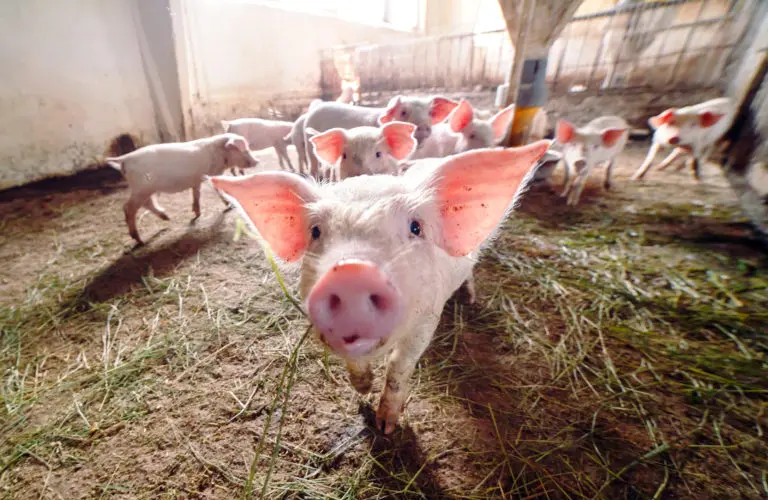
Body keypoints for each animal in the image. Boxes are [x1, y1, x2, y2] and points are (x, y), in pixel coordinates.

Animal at [106, 133, 258, 244]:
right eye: (243, 149)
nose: (257, 161)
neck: (219, 155)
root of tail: (125, 159)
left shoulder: (197, 180)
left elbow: (196, 194)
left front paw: (197, 213)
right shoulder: (210, 174)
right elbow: (216, 189)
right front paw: (229, 205)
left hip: (144, 189)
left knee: (146, 203)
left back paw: (166, 218)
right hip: (141, 188)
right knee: (128, 208)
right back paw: (139, 240)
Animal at [210, 140, 550, 434]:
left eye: (415, 227)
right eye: (316, 232)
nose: (351, 272)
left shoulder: (427, 319)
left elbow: (399, 367)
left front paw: (386, 427)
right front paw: (362, 390)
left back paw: (468, 298)